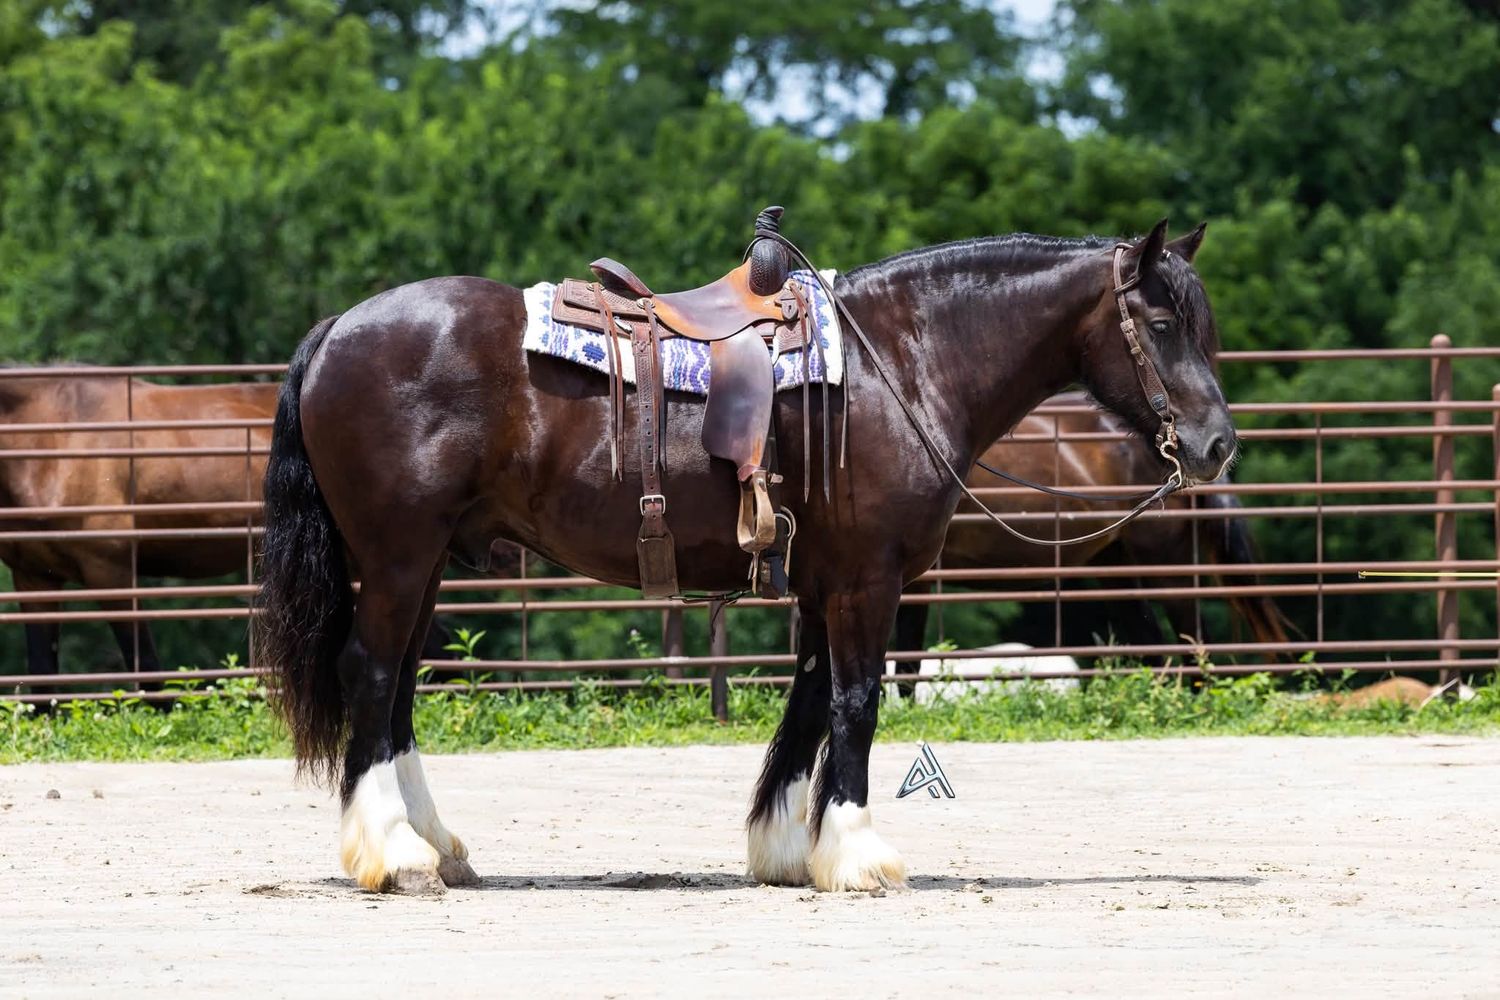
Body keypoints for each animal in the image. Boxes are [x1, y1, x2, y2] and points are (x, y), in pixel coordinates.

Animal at [255, 218, 1236, 894]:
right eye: (1160, 320)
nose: (1217, 444)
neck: (901, 364)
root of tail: (339, 327)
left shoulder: (826, 580)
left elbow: (809, 704)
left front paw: (789, 847)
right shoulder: (868, 580)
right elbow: (854, 702)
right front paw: (859, 854)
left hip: (424, 564)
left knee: (399, 690)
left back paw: (438, 846)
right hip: (397, 556)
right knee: (372, 674)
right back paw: (393, 854)